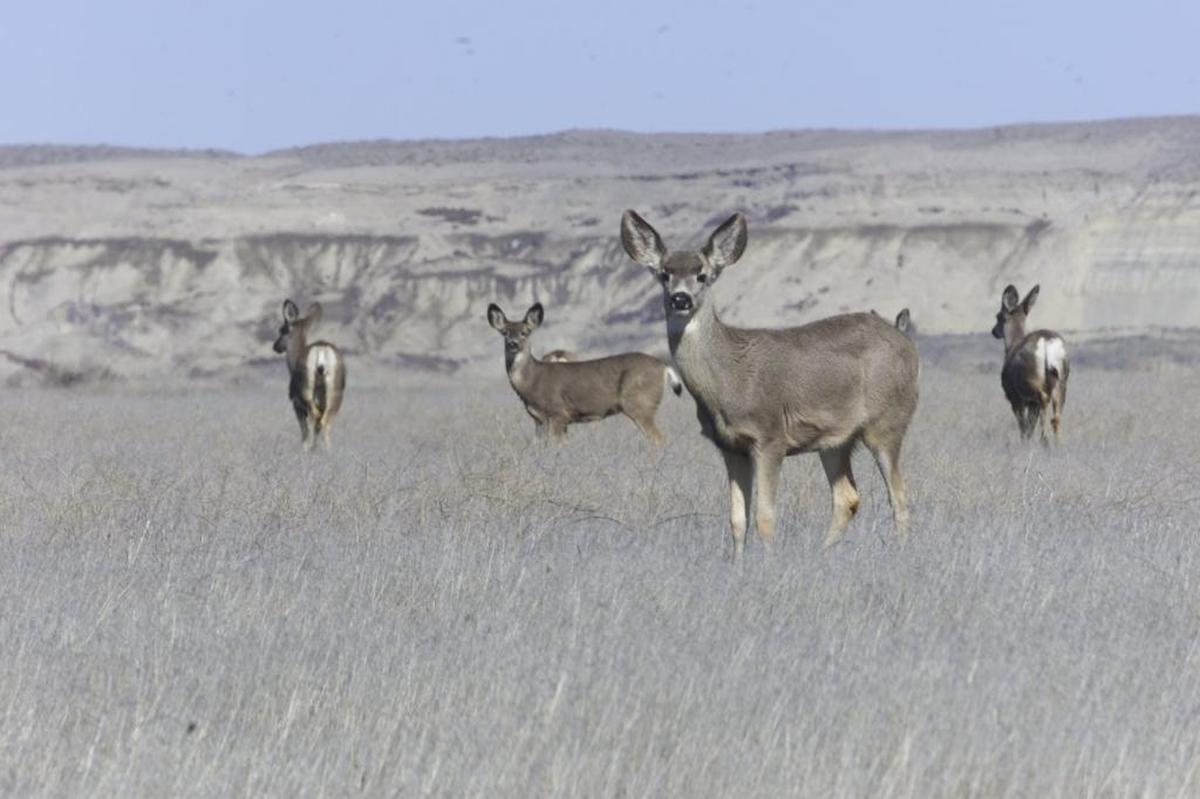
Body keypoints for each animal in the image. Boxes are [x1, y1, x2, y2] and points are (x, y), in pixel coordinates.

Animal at [272, 299, 346, 451]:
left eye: (282, 330)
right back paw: (326, 450)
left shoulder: (296, 403)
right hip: (335, 393)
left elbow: (304, 429)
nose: (275, 346)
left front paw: (305, 448)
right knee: (326, 423)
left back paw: (312, 448)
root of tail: (321, 351)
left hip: (306, 391)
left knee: (316, 419)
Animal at [486, 302, 682, 442]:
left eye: (525, 332)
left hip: (640, 403)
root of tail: (663, 366)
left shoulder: (558, 413)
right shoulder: (538, 420)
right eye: (505, 332)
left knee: (659, 439)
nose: (513, 343)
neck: (532, 382)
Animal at [621, 210, 920, 555]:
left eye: (703, 275)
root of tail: (906, 342)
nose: (680, 299)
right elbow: (737, 520)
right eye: (664, 274)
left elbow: (765, 517)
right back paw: (822, 554)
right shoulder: (730, 446)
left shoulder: (770, 436)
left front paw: (768, 563)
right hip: (835, 440)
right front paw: (737, 564)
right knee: (847, 497)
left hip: (887, 422)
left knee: (899, 497)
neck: (727, 380)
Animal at [991, 284, 1069, 444]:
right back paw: (1057, 443)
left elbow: (1024, 426)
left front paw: (1024, 442)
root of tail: (1046, 342)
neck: (1012, 344)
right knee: (1056, 416)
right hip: (1062, 380)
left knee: (1043, 401)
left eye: (998, 316)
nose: (993, 331)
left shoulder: (1015, 398)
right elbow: (1029, 425)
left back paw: (1045, 440)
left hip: (1031, 381)